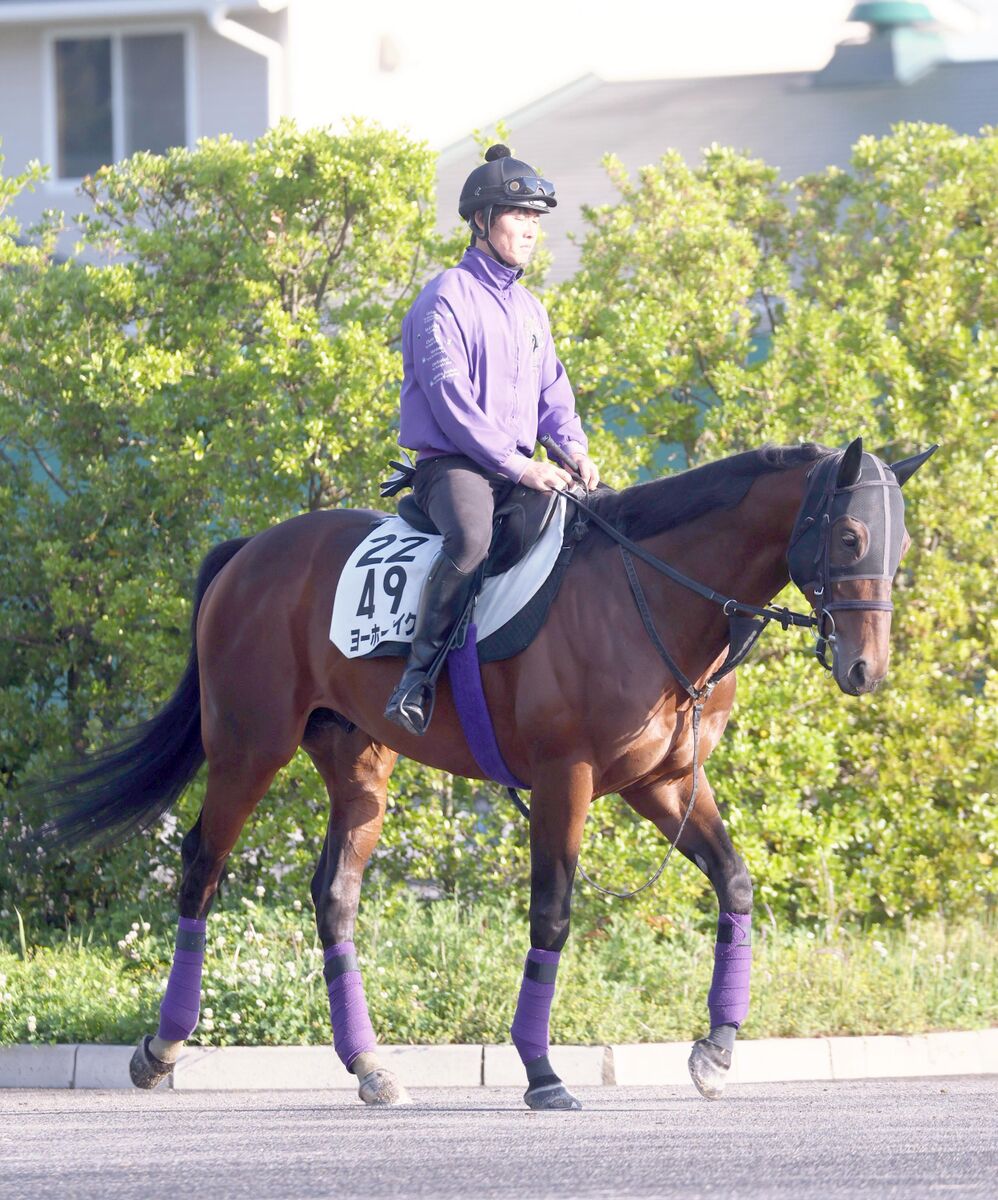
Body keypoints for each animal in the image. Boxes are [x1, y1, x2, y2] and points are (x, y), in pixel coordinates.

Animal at [31, 436, 935, 1108]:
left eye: (897, 544)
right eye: (850, 538)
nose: (866, 669)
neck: (649, 592)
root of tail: (250, 550)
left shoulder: (667, 783)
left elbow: (735, 883)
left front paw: (714, 1050)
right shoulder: (567, 780)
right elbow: (553, 915)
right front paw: (541, 1071)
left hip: (356, 765)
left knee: (334, 894)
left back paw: (370, 1066)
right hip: (249, 746)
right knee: (201, 869)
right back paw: (161, 1046)